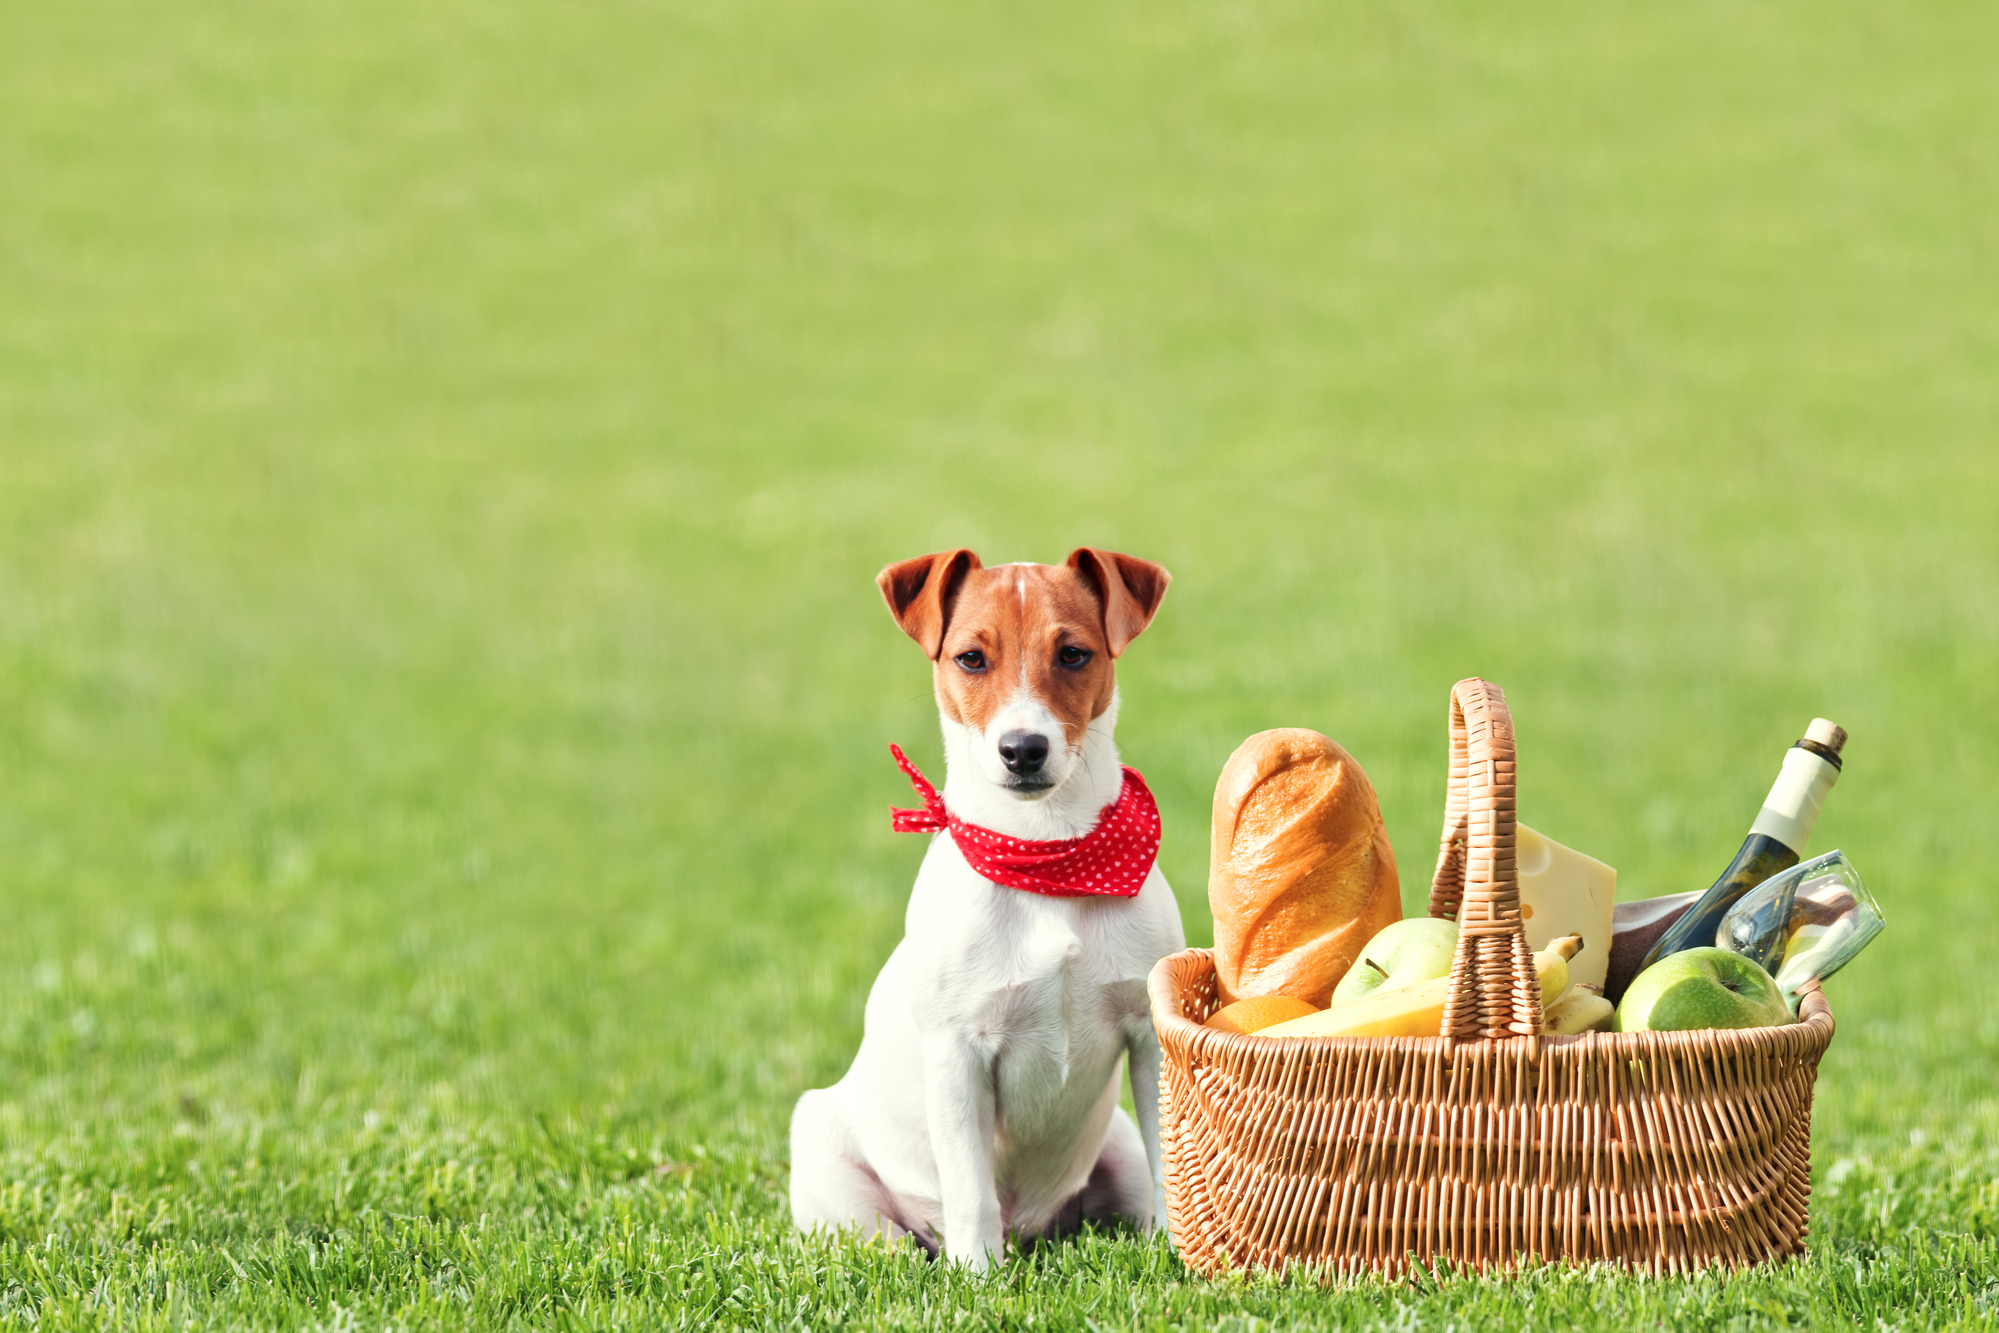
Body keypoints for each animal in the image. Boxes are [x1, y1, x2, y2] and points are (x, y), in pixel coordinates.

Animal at [783, 551, 1183, 1271]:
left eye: (1074, 653)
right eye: (970, 658)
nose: (1023, 749)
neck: (1045, 855)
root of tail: (1033, 1232)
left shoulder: (1149, 1038)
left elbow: (1174, 1156)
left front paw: (1181, 1258)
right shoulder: (957, 1054)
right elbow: (970, 1187)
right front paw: (978, 1279)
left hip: (1114, 1144)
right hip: (832, 1170)